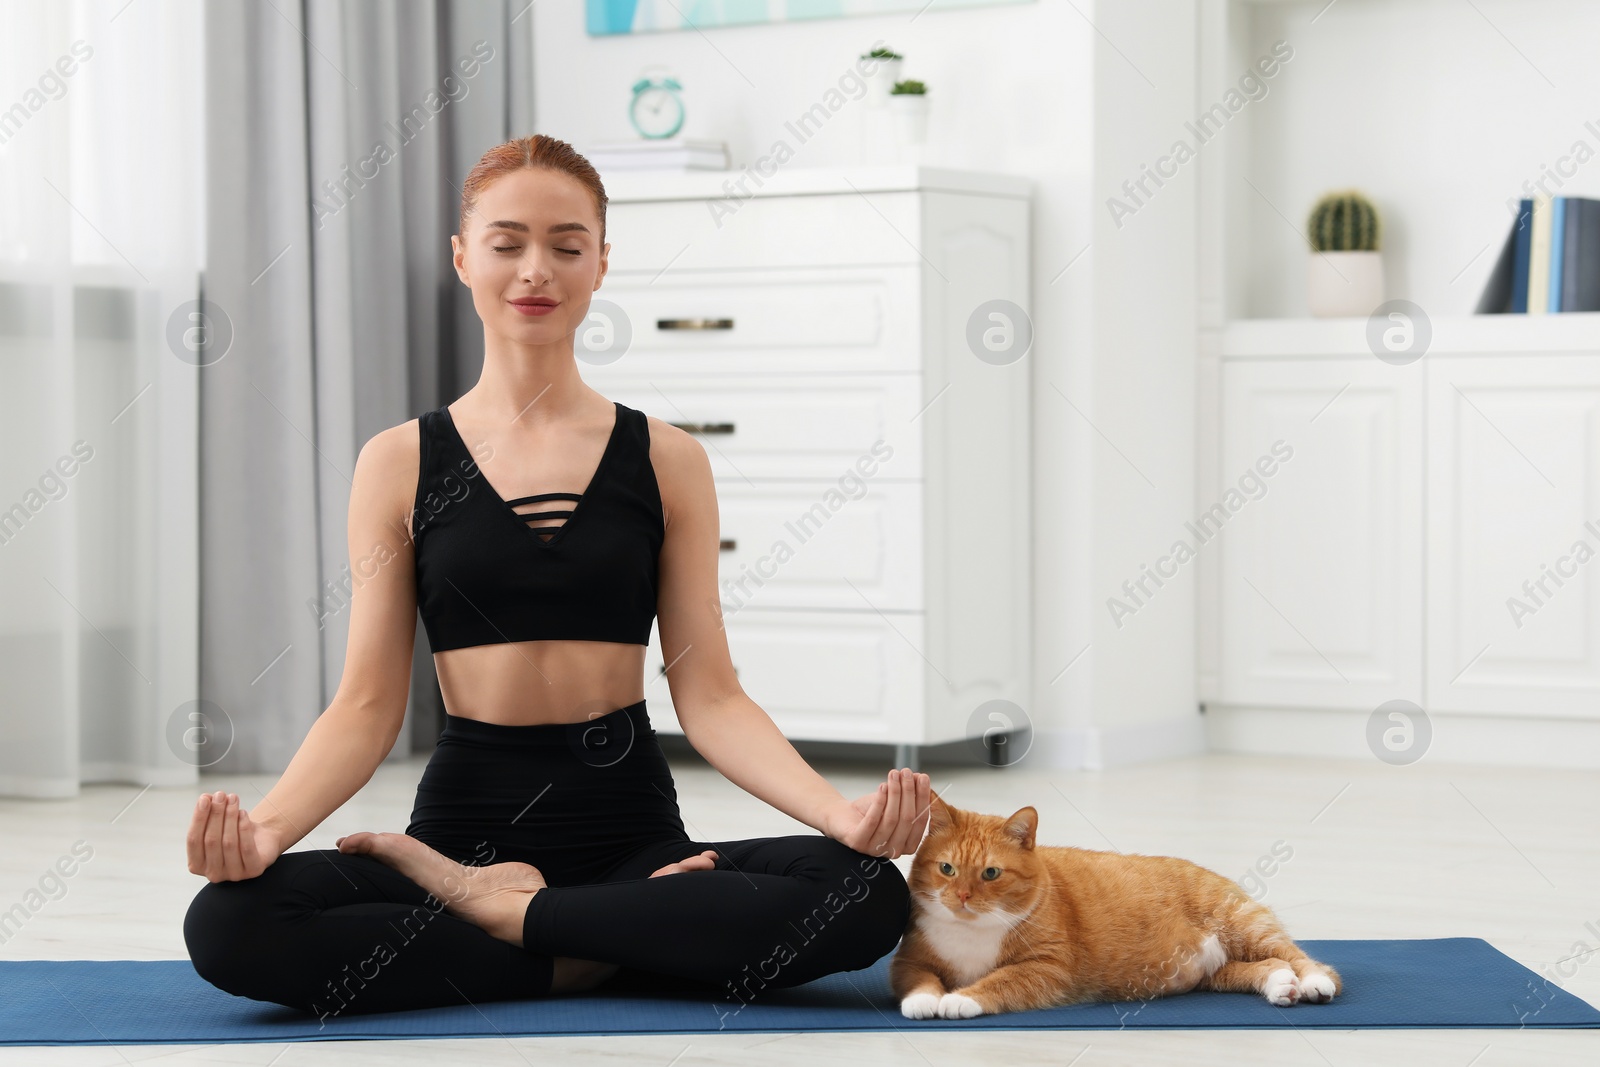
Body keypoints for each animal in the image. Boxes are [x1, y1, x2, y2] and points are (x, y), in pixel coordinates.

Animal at [896, 793, 1344, 1017]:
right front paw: (923, 1000)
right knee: (1267, 965)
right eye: (947, 868)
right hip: (1216, 970)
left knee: (1301, 959)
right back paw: (1280, 984)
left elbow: (999, 980)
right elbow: (920, 979)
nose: (961, 896)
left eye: (990, 873)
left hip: (1243, 926)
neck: (971, 930)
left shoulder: (1047, 968)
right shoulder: (909, 960)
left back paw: (1311, 982)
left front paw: (960, 998)